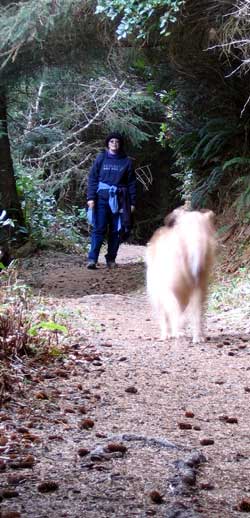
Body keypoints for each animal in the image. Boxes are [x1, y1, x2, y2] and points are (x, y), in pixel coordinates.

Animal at [146, 207, 216, 346]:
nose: (197, 268)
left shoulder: (198, 289)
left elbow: (195, 313)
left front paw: (197, 336)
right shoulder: (167, 289)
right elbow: (174, 310)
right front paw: (179, 329)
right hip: (157, 293)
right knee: (164, 314)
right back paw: (168, 334)